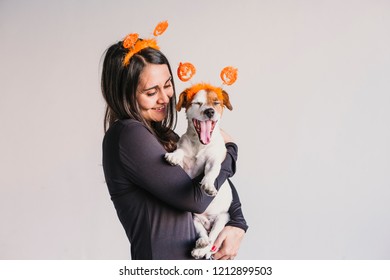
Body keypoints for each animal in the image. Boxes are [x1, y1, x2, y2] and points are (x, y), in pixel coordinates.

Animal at [165, 84, 233, 260]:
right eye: (197, 103)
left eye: (216, 103)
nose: (209, 111)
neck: (199, 144)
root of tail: (207, 222)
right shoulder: (185, 159)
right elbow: (180, 152)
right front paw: (174, 156)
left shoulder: (214, 159)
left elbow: (214, 169)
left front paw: (208, 184)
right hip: (194, 218)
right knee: (203, 233)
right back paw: (201, 243)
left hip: (223, 218)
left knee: (212, 239)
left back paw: (202, 249)